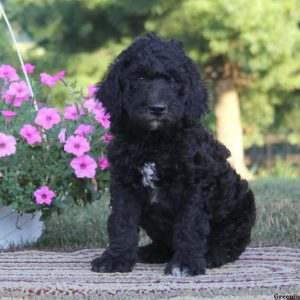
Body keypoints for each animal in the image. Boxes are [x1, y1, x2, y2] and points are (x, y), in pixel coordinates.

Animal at [91, 33, 255, 276]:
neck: (154, 142)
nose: (158, 108)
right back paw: (150, 251)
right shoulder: (124, 183)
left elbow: (190, 225)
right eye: (140, 77)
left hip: (241, 207)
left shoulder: (195, 186)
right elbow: (121, 222)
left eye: (174, 80)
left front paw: (186, 263)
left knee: (229, 244)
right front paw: (116, 258)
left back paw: (212, 255)